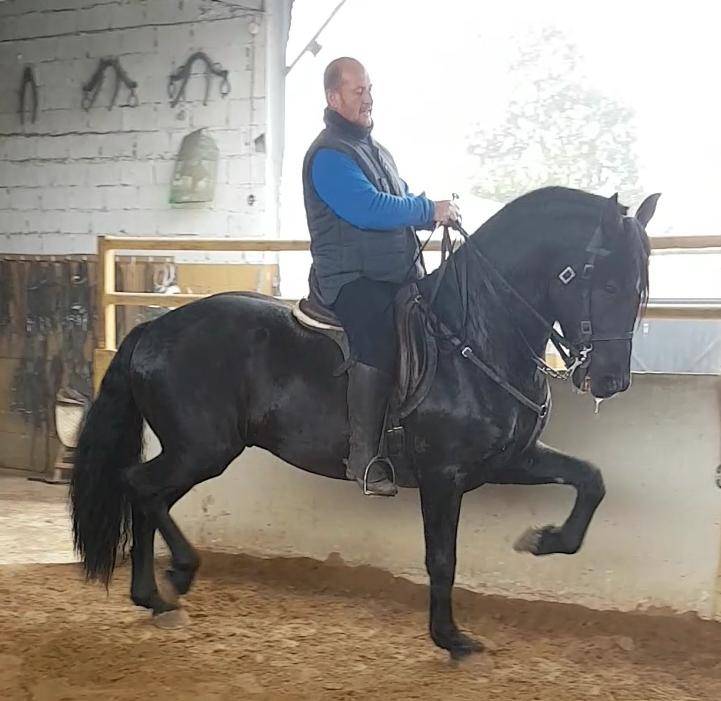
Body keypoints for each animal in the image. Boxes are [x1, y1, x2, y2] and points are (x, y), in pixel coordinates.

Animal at [70, 186, 659, 659]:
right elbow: (442, 558)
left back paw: (160, 593)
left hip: (199, 452)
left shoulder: (508, 460)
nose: (611, 381)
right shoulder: (444, 477)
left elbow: (590, 480)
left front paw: (544, 541)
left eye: (638, 287)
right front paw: (451, 639)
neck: (475, 335)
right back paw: (173, 579)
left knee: (150, 496)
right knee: (140, 487)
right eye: (606, 284)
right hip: (202, 449)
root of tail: (152, 331)